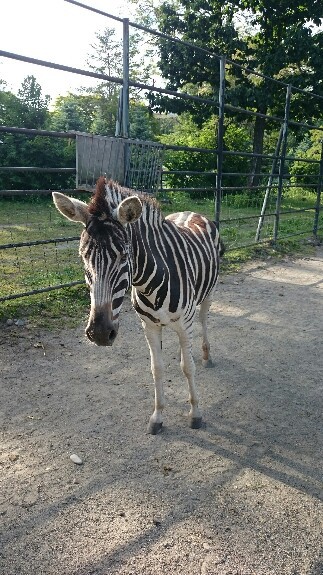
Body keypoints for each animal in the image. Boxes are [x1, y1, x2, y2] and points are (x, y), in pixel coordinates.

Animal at [53, 178, 224, 434]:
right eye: (83, 257)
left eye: (124, 256)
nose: (100, 333)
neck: (151, 283)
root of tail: (191, 212)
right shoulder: (149, 326)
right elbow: (157, 369)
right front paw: (158, 416)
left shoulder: (184, 323)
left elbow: (188, 368)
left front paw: (195, 414)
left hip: (208, 293)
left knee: (203, 320)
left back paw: (205, 354)